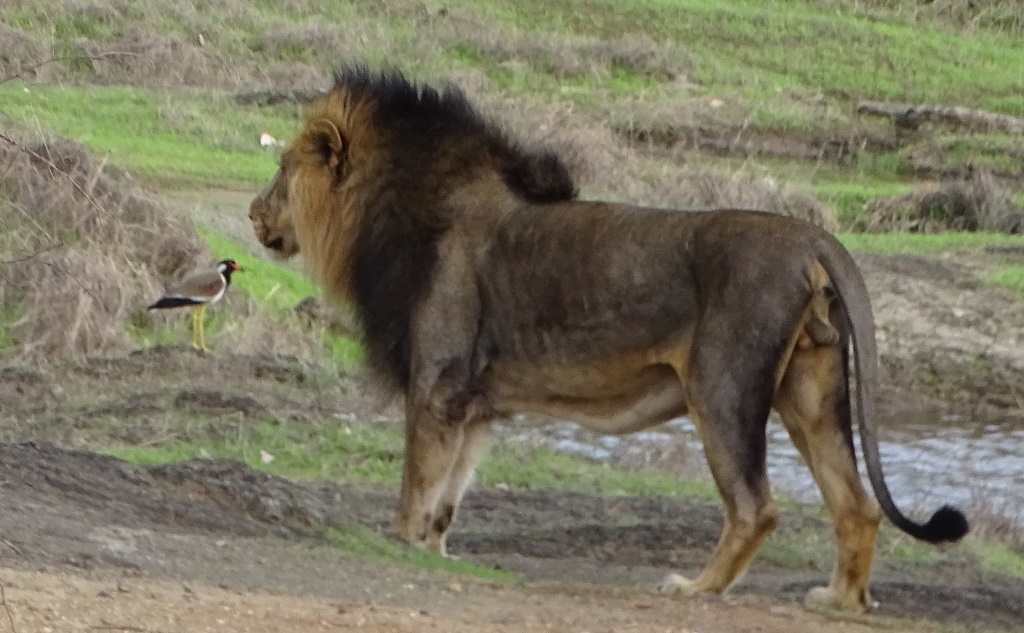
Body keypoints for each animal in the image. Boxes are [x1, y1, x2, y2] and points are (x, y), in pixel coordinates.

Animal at [249, 67, 966, 610]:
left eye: (282, 170)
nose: (254, 213)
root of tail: (814, 237)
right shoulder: (475, 406)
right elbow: (447, 498)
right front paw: (432, 549)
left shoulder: (437, 388)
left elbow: (416, 486)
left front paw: (398, 544)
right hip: (811, 392)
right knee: (857, 505)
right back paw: (840, 600)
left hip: (722, 385)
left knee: (756, 506)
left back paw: (696, 587)